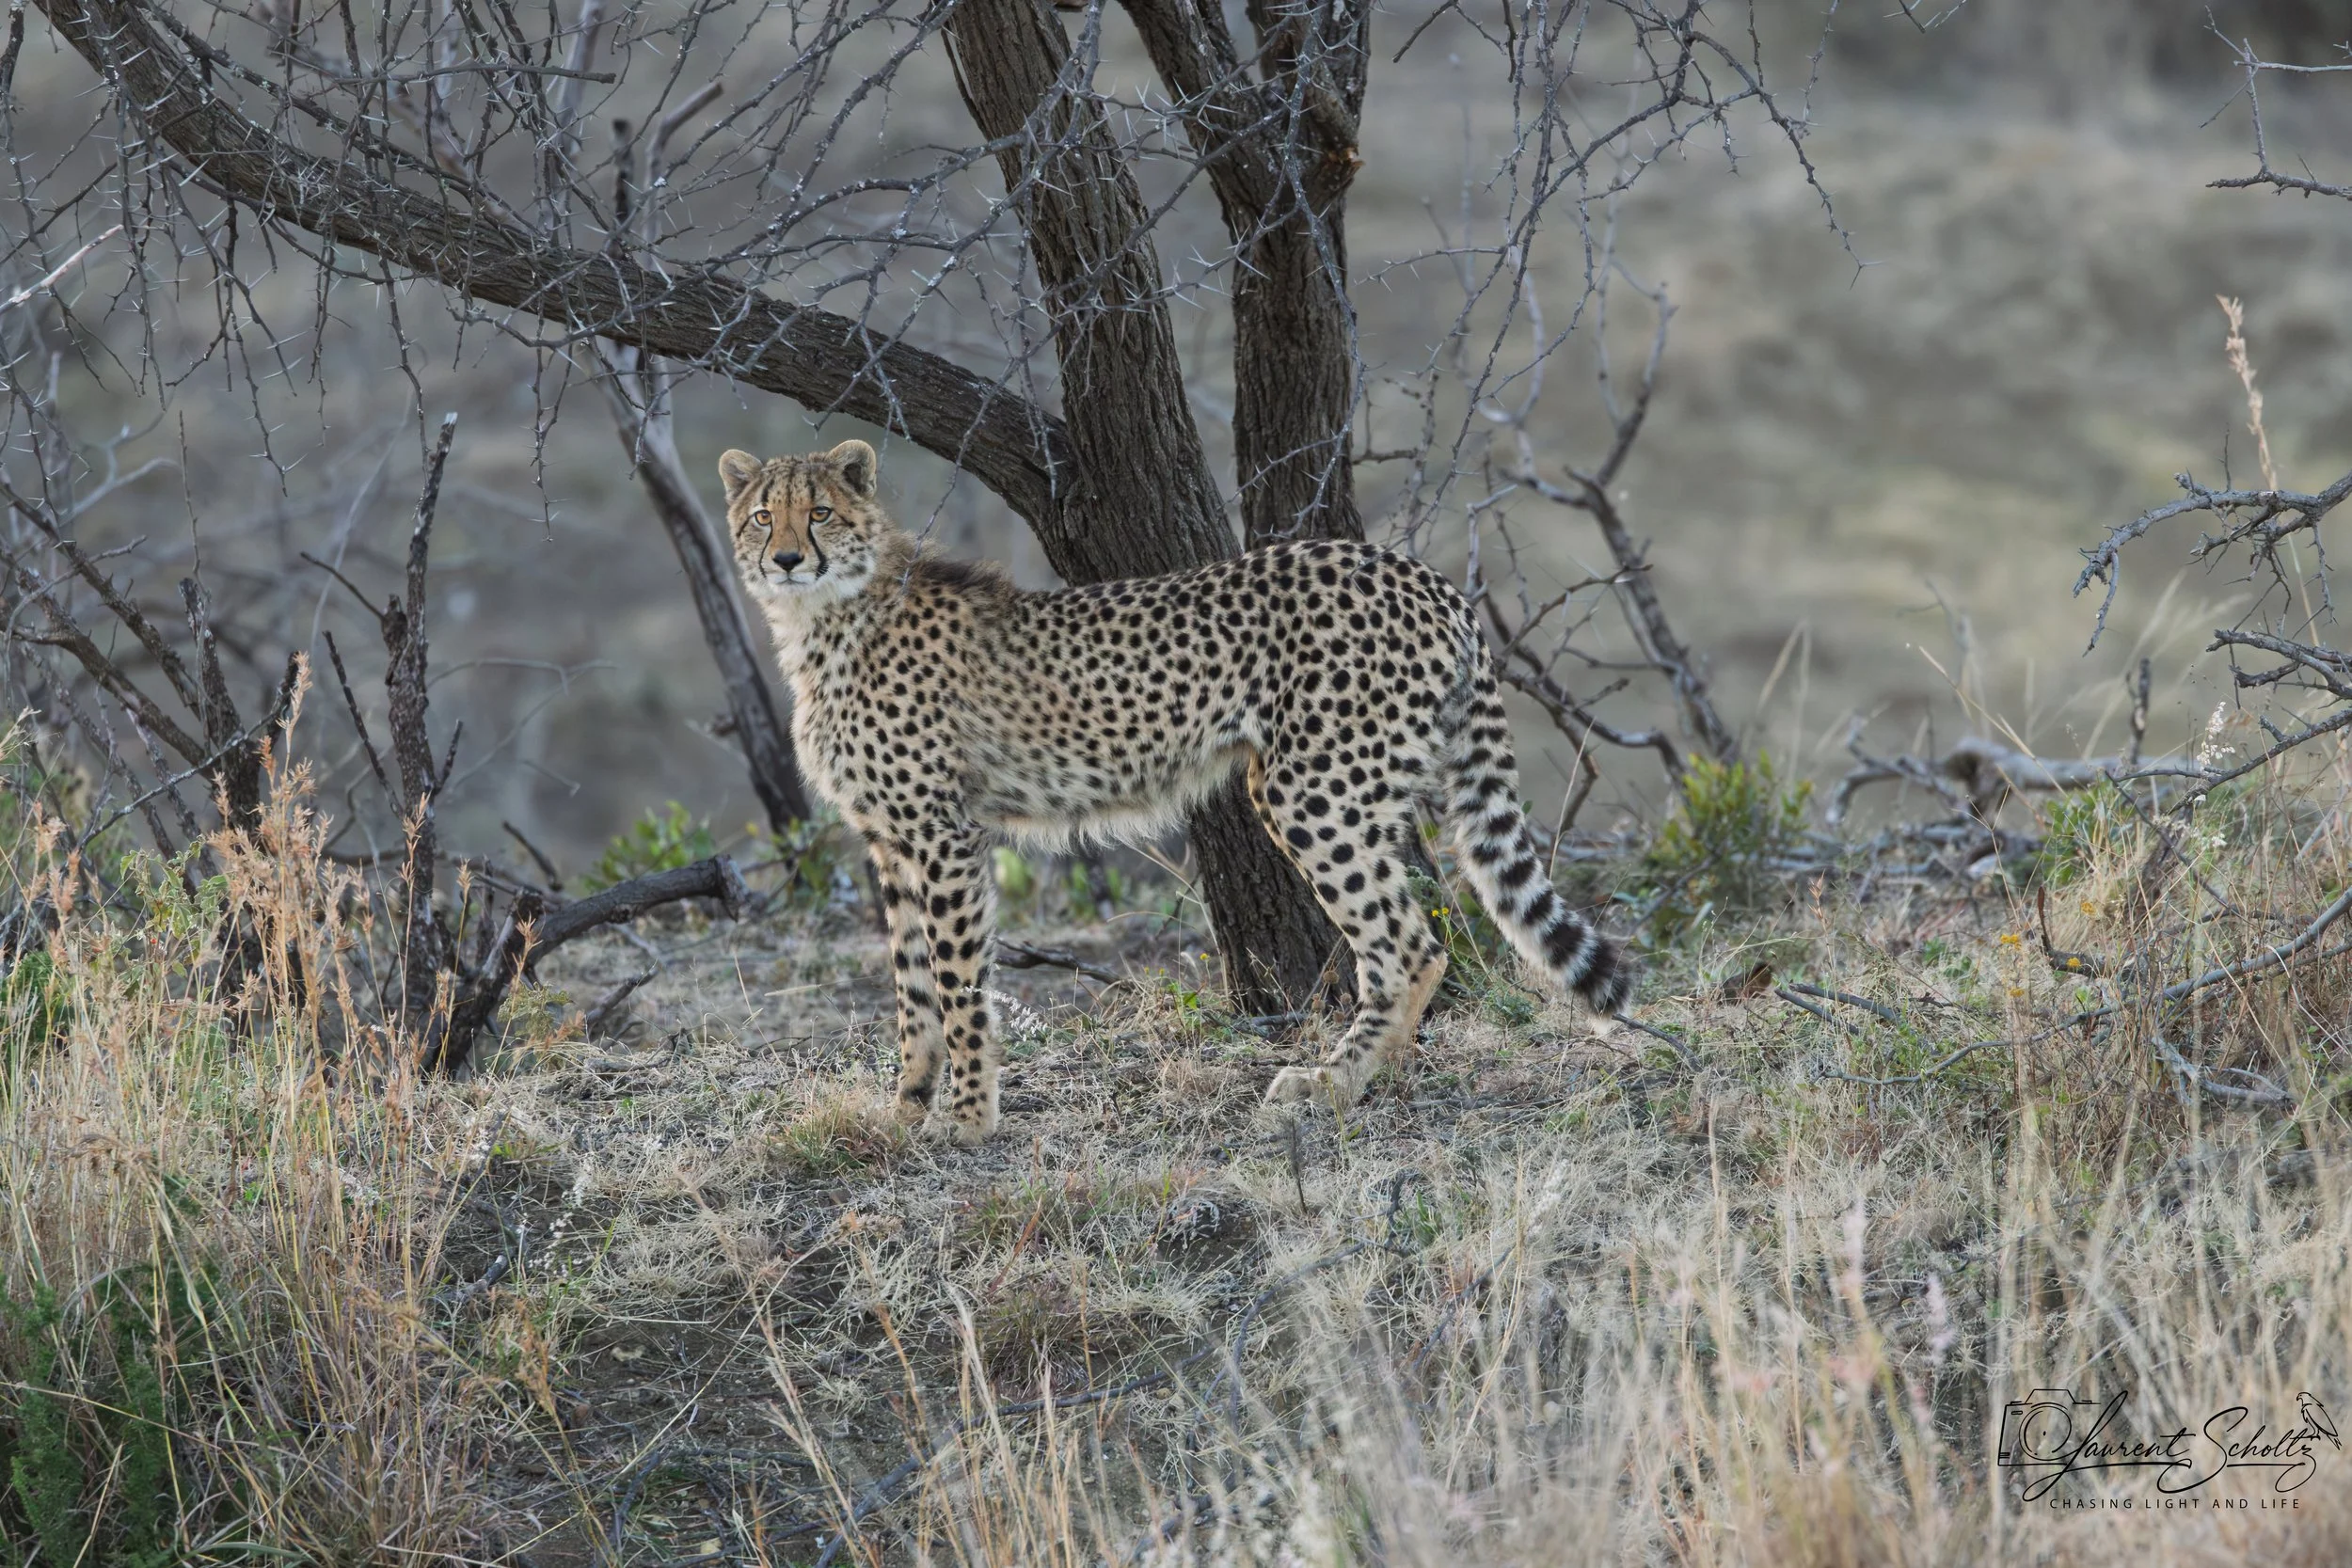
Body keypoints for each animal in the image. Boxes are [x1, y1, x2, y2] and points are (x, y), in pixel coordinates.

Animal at [720, 439, 1634, 1144]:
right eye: (764, 515)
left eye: (821, 513)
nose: (788, 558)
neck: (827, 617)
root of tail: (1415, 570)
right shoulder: (893, 839)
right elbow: (911, 985)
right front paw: (908, 1103)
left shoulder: (945, 835)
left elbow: (957, 983)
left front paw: (970, 1117)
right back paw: (1377, 1073)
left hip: (1313, 790)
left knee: (1410, 944)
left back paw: (1333, 1084)